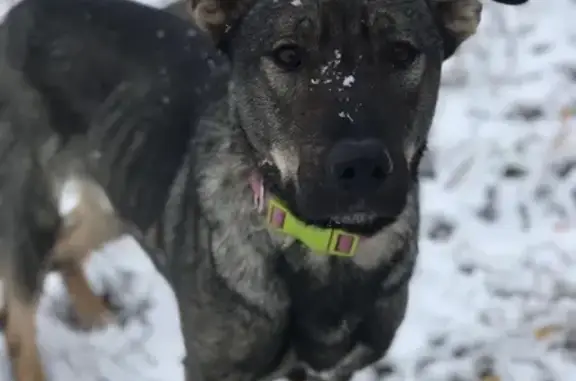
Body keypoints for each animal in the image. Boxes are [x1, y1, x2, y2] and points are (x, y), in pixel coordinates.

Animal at [0, 0, 532, 380]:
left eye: (402, 52)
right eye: (287, 55)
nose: (360, 166)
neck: (324, 249)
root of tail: (23, 10)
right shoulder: (214, 370)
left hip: (116, 197)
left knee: (65, 245)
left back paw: (92, 311)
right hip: (31, 203)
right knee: (23, 308)